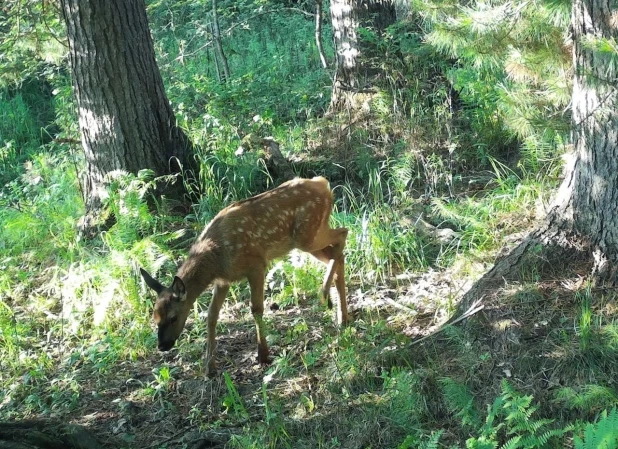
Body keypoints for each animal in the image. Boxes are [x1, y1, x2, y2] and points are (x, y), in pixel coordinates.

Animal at [139, 175, 346, 374]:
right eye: (155, 318)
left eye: (173, 317)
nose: (162, 346)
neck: (216, 257)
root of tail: (323, 184)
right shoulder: (224, 280)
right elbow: (212, 315)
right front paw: (209, 367)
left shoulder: (256, 265)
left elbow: (256, 309)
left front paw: (263, 355)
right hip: (308, 238)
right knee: (337, 253)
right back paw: (342, 317)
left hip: (307, 234)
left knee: (343, 233)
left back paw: (326, 295)